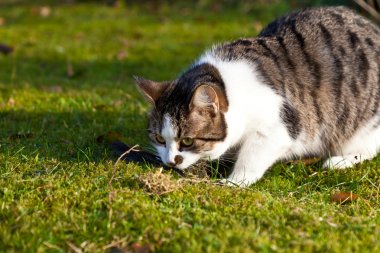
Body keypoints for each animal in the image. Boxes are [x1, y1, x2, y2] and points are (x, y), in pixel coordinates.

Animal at [136, 6, 380, 187]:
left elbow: (252, 157)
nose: (170, 162)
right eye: (159, 139)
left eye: (187, 140)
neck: (232, 90)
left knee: (369, 148)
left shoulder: (279, 126)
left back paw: (340, 161)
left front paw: (235, 181)